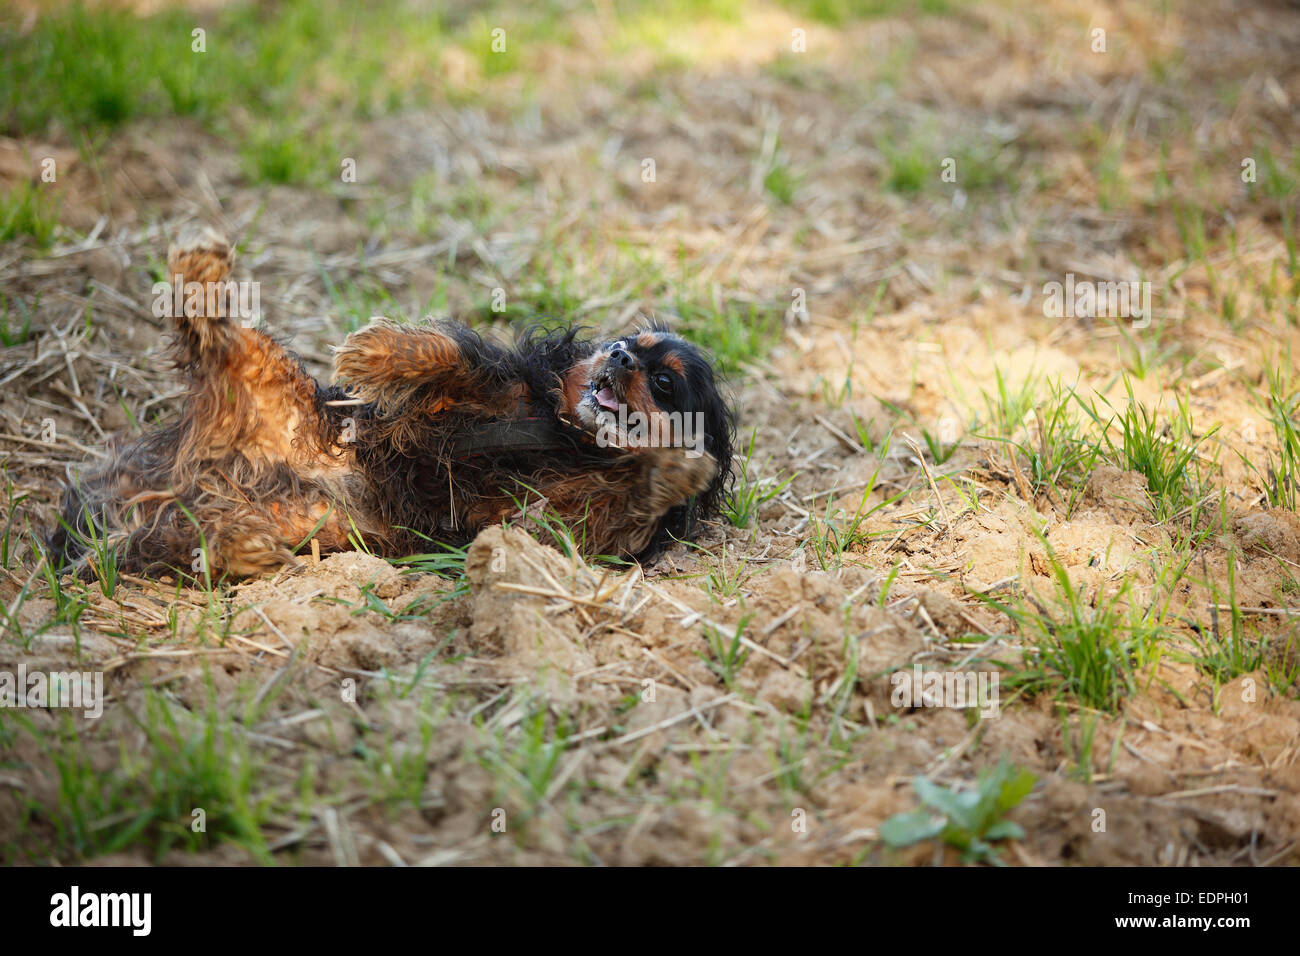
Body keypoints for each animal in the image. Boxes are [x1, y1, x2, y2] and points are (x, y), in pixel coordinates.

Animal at [50, 227, 738, 580]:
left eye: (666, 383)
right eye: (625, 342)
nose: (617, 357)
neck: (573, 439)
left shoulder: (567, 526)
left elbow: (622, 502)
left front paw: (675, 469)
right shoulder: (488, 394)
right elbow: (451, 357)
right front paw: (376, 352)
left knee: (183, 542)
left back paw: (239, 546)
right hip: (268, 380)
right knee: (215, 333)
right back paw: (199, 272)